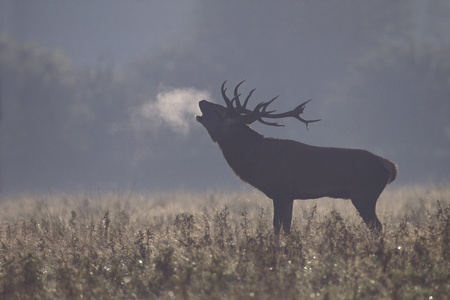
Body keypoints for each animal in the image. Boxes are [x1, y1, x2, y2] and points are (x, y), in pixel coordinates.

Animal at [197, 80, 398, 234]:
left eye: (217, 110)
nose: (201, 100)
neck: (255, 158)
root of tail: (390, 166)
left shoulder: (279, 190)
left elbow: (277, 227)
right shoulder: (290, 196)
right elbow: (288, 227)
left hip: (364, 194)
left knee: (377, 227)